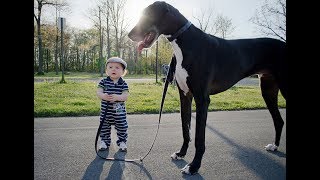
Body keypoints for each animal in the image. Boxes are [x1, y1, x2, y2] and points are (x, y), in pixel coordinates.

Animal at [127, 0, 288, 175]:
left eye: (148, 15)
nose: (129, 35)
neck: (185, 41)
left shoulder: (202, 99)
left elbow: (199, 137)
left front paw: (193, 166)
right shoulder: (185, 96)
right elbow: (185, 129)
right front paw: (181, 153)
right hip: (267, 90)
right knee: (279, 121)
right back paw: (275, 146)